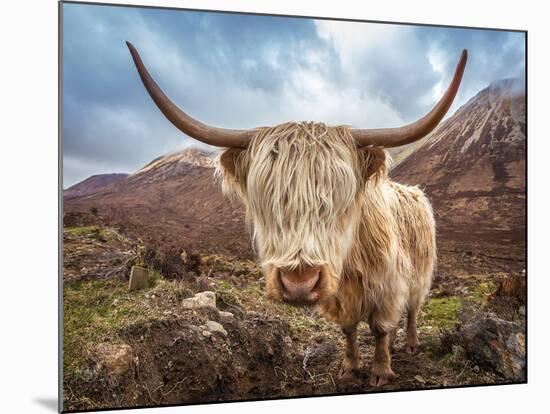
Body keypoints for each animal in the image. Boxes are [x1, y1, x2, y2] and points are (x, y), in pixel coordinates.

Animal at [127, 42, 468, 384]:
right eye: (267, 199)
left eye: (340, 199)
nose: (299, 283)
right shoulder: (340, 298)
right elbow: (348, 330)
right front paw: (349, 367)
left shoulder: (388, 285)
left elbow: (380, 328)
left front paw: (381, 371)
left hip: (420, 274)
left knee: (411, 309)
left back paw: (409, 343)